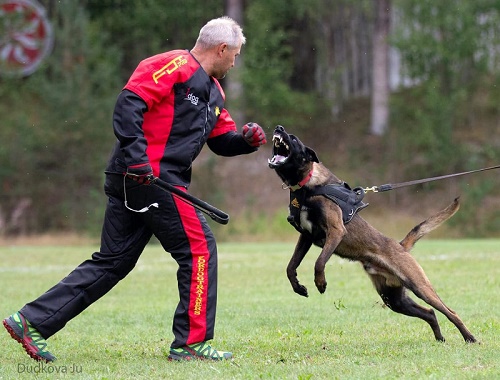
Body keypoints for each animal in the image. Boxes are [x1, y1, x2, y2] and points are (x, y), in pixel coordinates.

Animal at [270, 124, 476, 342]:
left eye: (293, 138)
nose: (278, 128)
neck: (306, 186)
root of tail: (400, 246)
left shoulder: (336, 231)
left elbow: (319, 262)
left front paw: (321, 283)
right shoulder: (306, 236)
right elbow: (291, 266)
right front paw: (298, 286)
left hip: (420, 287)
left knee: (449, 312)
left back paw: (470, 338)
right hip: (395, 299)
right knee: (430, 313)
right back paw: (440, 339)